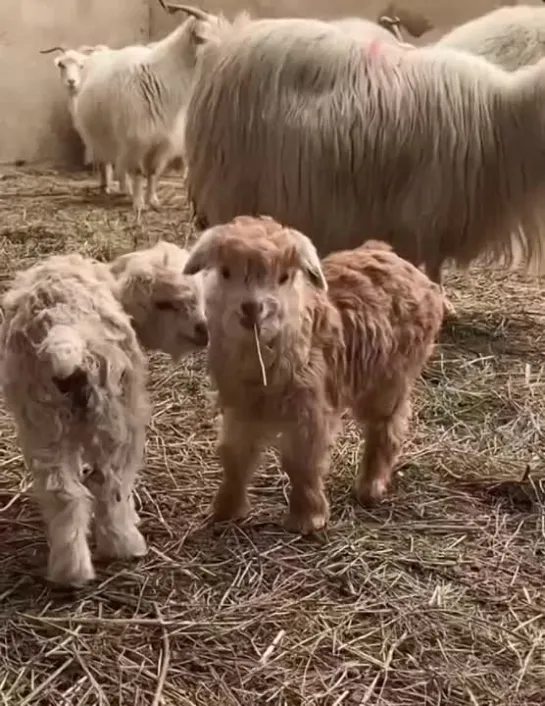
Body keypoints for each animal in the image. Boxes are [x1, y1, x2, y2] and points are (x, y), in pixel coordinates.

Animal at [0, 239, 207, 584]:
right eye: (165, 303)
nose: (204, 332)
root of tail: (63, 330)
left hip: (42, 419)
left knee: (63, 493)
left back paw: (71, 571)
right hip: (113, 415)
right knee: (109, 483)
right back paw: (125, 545)